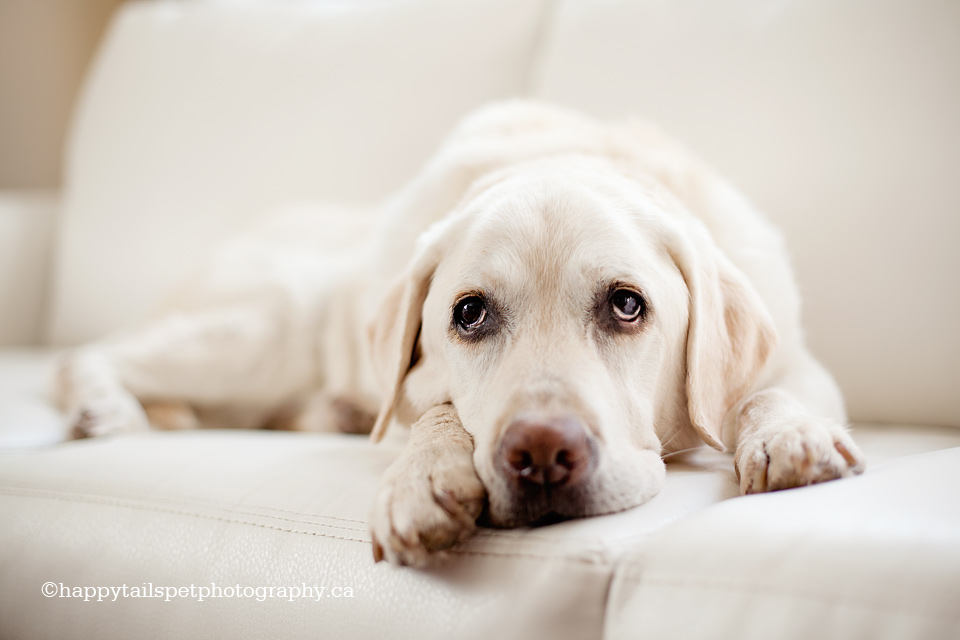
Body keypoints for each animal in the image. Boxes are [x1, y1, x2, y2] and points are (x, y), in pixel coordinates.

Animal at [52, 102, 868, 568]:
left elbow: (765, 392)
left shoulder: (798, 359)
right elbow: (438, 411)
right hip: (257, 335)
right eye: (469, 314)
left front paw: (789, 436)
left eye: (627, 305)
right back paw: (102, 406)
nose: (541, 455)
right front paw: (423, 480)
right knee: (93, 352)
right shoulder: (413, 386)